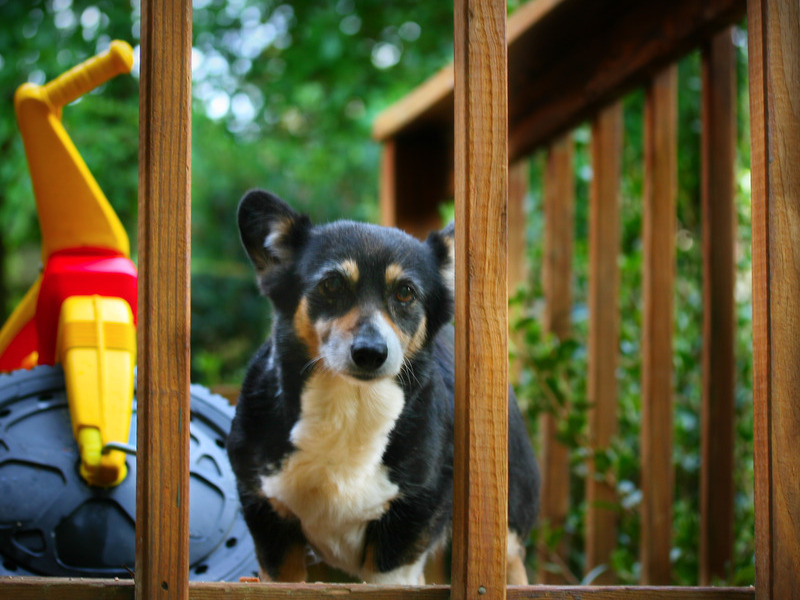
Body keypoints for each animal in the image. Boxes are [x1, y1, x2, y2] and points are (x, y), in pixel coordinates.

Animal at [228, 190, 540, 584]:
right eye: (331, 284)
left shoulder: (406, 531)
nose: (370, 353)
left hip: (509, 527)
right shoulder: (269, 521)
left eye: (406, 292)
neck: (349, 406)